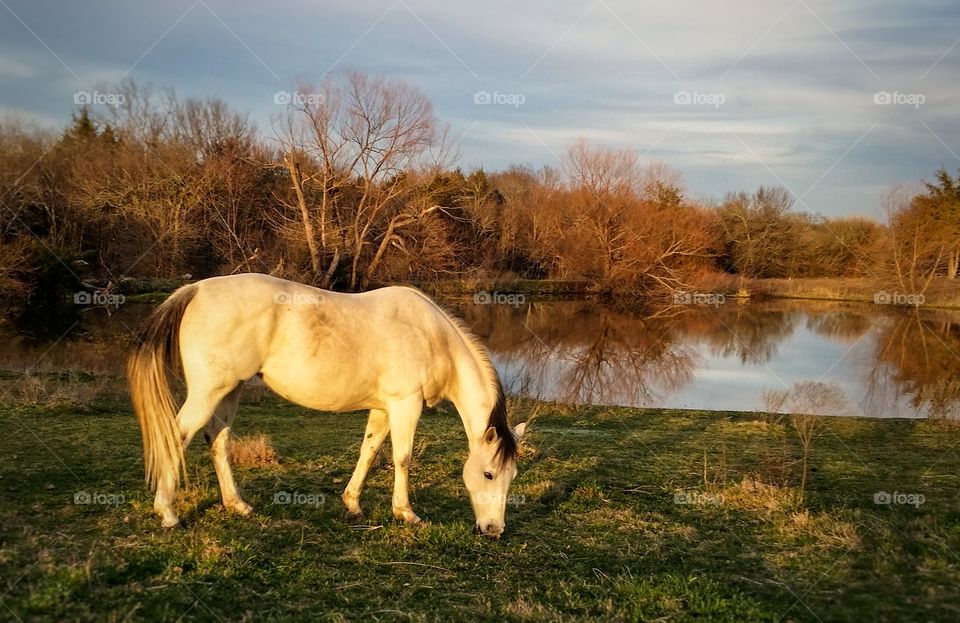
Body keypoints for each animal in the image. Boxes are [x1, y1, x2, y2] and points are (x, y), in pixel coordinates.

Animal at [127, 276, 524, 540]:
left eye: (512, 476)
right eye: (489, 474)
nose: (494, 529)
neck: (431, 336)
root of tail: (196, 289)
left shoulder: (383, 408)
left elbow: (368, 451)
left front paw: (352, 503)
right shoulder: (405, 404)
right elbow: (402, 458)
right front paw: (406, 513)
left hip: (229, 391)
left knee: (218, 440)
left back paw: (237, 505)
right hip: (208, 392)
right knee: (176, 436)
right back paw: (168, 514)